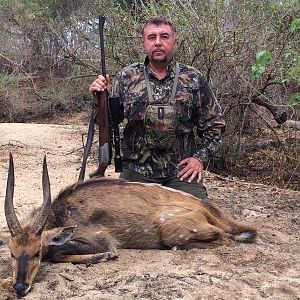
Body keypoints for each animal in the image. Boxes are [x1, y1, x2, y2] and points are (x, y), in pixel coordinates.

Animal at [0, 154, 258, 296]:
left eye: (37, 252)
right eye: (12, 253)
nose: (20, 288)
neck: (65, 211)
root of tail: (206, 208)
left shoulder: (101, 240)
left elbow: (58, 252)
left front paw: (103, 257)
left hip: (173, 232)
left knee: (224, 237)